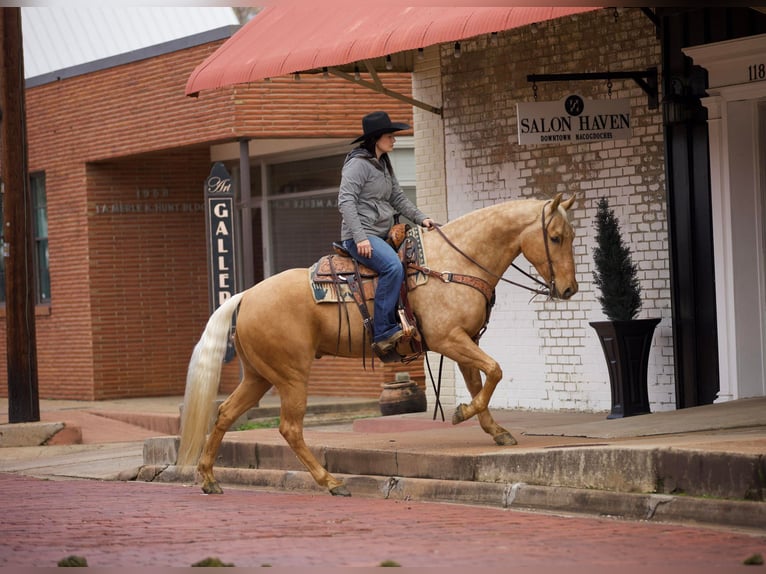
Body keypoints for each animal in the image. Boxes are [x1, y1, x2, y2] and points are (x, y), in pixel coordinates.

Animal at [177, 192, 580, 496]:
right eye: (556, 237)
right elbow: (494, 371)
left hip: (259, 376)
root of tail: (245, 296)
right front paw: (462, 413)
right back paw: (331, 482)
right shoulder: (449, 339)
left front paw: (494, 430)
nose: (568, 289)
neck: (452, 264)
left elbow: (481, 382)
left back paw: (209, 477)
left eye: (572, 235)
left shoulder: (465, 341)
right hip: (291, 376)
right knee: (289, 428)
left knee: (225, 413)